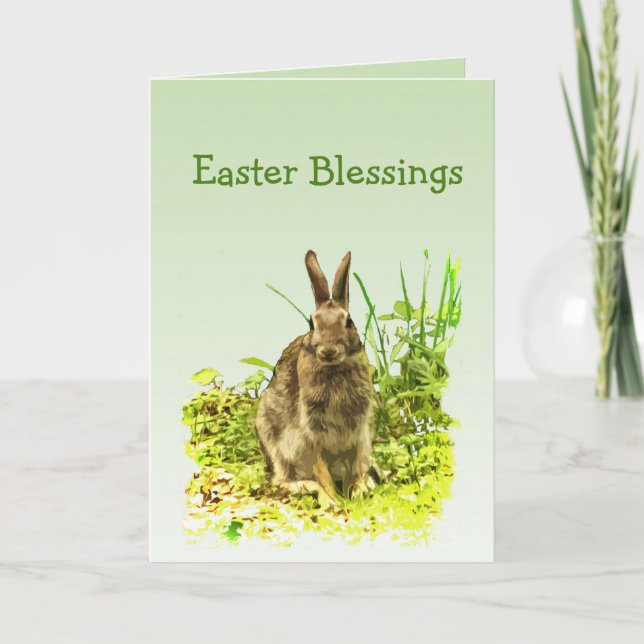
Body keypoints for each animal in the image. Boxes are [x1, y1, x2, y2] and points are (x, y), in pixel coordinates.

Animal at [256, 250, 375, 502]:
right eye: (312, 323)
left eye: (349, 321)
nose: (328, 351)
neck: (334, 370)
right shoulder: (311, 438)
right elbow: (322, 473)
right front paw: (334, 501)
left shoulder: (358, 436)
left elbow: (355, 468)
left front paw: (357, 492)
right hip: (273, 443)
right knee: (280, 480)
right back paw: (309, 488)